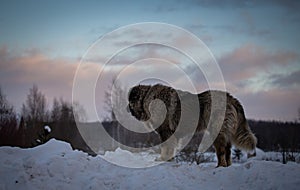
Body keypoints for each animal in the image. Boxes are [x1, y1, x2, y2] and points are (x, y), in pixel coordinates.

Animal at [127, 84, 256, 167]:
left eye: (130, 101)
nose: (127, 108)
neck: (146, 99)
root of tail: (230, 97)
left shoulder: (165, 132)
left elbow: (166, 148)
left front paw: (163, 159)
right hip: (226, 132)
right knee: (228, 151)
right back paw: (226, 167)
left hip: (217, 131)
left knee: (221, 151)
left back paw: (219, 166)